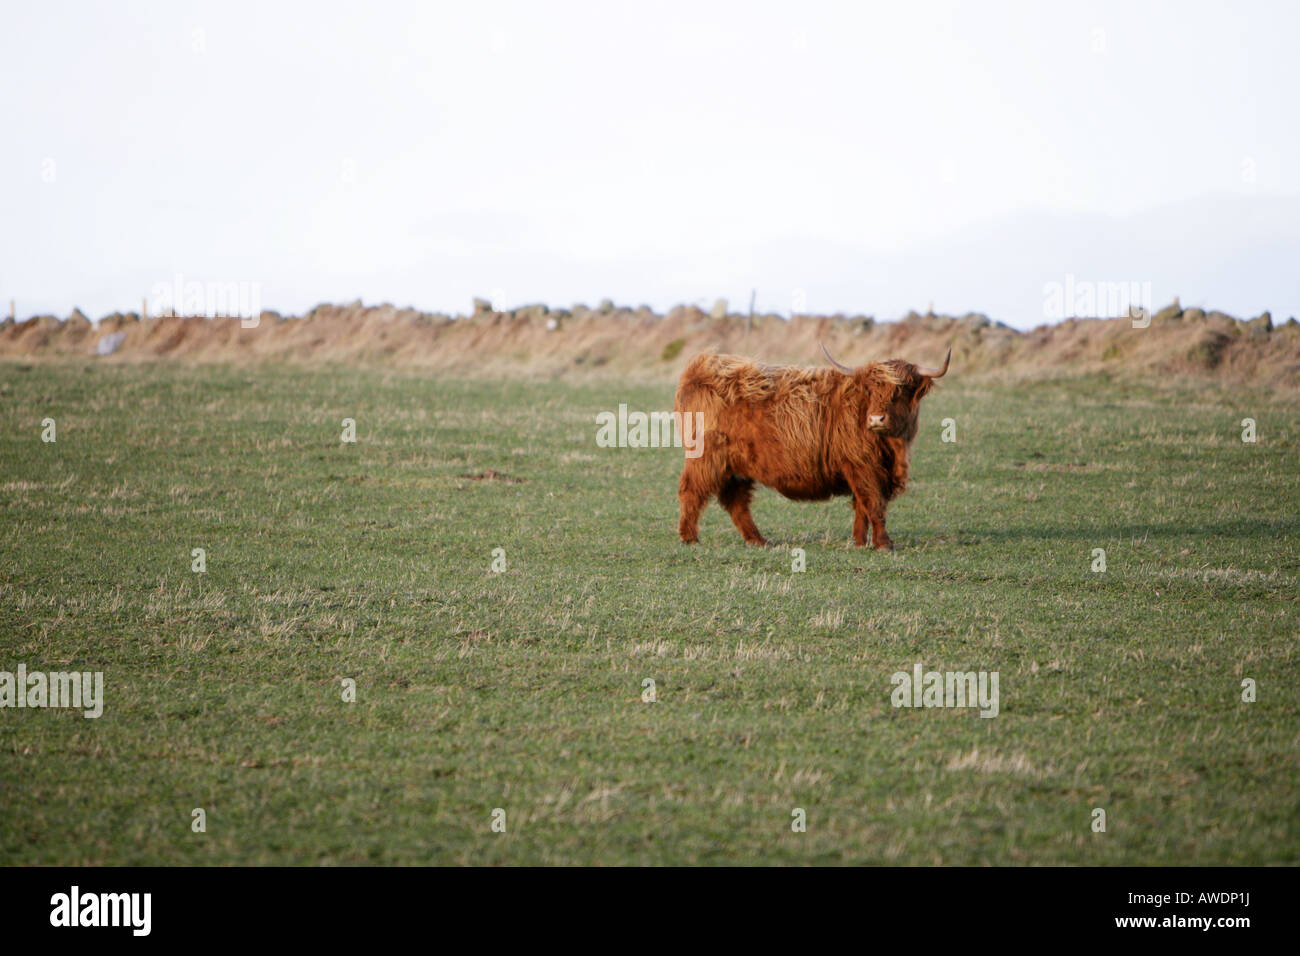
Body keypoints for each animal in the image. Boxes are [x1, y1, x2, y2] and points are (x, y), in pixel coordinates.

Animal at [674, 344, 949, 549]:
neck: (894, 447)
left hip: (736, 466)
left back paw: (758, 540)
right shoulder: (862, 465)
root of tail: (701, 367)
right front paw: (884, 544)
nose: (876, 419)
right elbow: (873, 504)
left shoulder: (867, 469)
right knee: (692, 491)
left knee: (736, 502)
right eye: (871, 391)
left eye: (902, 391)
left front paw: (860, 542)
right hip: (705, 458)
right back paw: (690, 538)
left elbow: (861, 506)